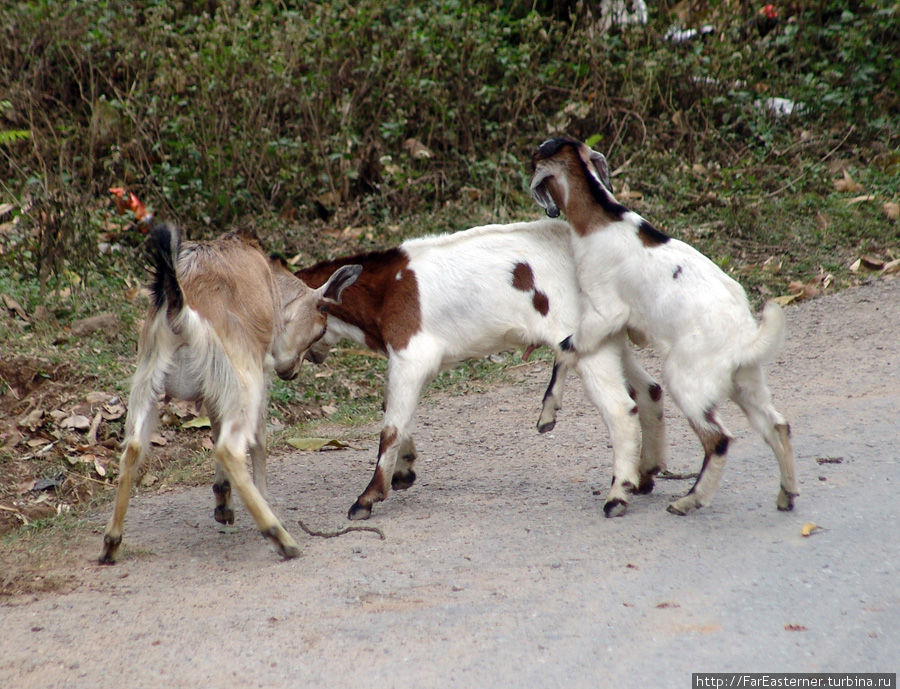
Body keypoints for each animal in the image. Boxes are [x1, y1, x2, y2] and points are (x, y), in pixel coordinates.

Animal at [100, 223, 360, 560]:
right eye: (321, 328)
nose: (296, 368)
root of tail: (180, 312)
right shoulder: (257, 373)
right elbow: (259, 441)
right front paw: (260, 499)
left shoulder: (215, 390)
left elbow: (214, 426)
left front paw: (223, 501)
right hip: (243, 381)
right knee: (230, 447)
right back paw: (279, 535)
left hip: (148, 382)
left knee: (132, 448)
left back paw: (111, 542)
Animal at [298, 220, 668, 520]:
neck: (386, 290)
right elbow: (392, 409)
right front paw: (403, 470)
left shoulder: (411, 354)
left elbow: (391, 425)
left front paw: (368, 497)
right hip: (609, 337)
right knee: (649, 389)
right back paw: (646, 473)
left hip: (590, 342)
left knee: (620, 409)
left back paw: (617, 496)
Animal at [532, 134, 800, 512]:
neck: (603, 217)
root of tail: (743, 339)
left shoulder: (603, 312)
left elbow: (564, 349)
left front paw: (547, 414)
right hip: (746, 382)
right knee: (777, 425)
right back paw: (786, 493)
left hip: (686, 378)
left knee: (718, 439)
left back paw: (689, 500)